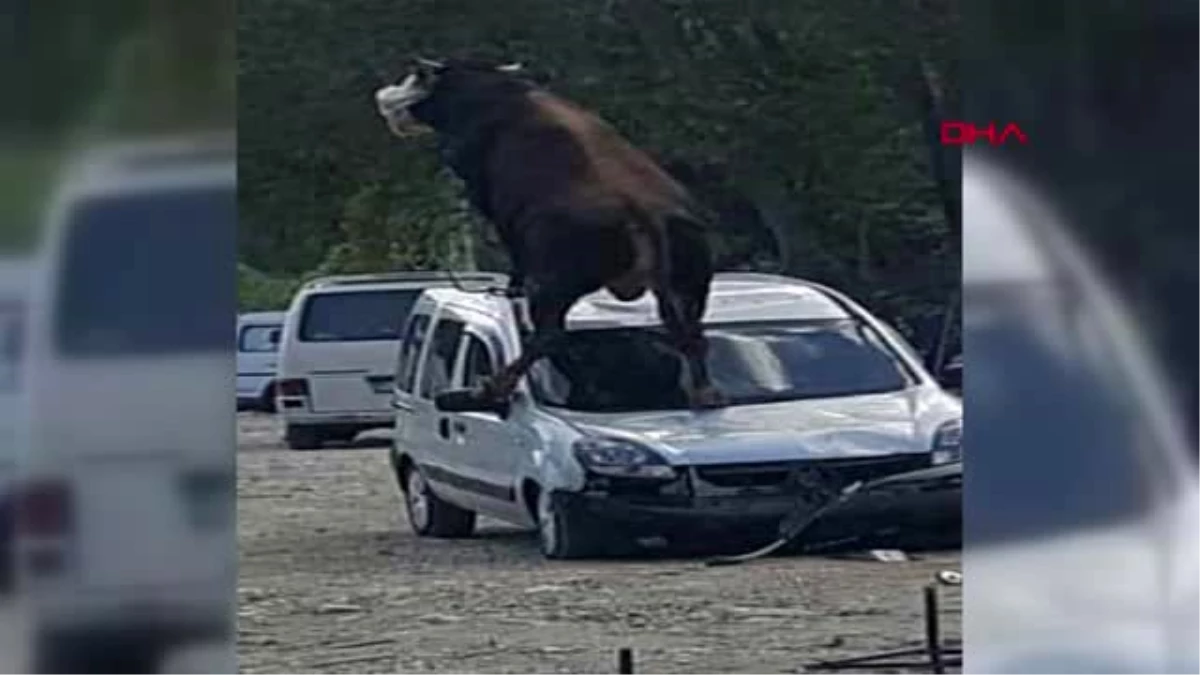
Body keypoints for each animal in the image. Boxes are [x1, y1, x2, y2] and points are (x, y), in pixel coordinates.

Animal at [372, 56, 720, 403]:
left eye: (414, 77)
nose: (384, 95)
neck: (490, 91)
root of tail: (647, 214)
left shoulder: (481, 189)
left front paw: (509, 289)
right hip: (692, 281)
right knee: (691, 331)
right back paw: (706, 393)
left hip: (553, 283)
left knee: (549, 335)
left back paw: (494, 386)